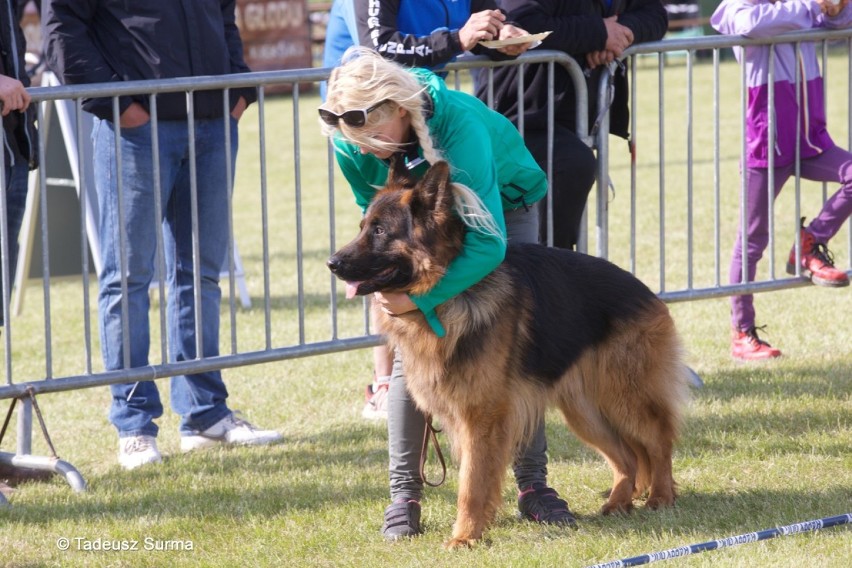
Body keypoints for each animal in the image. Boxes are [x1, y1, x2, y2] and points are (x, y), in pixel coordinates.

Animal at [324, 160, 684, 552]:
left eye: (379, 230)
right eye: (362, 227)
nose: (332, 263)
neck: (447, 293)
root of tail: (646, 291)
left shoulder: (482, 418)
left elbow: (470, 483)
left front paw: (465, 536)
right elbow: (477, 478)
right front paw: (478, 528)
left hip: (624, 398)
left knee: (658, 439)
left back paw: (660, 496)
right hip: (585, 412)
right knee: (628, 457)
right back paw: (620, 500)